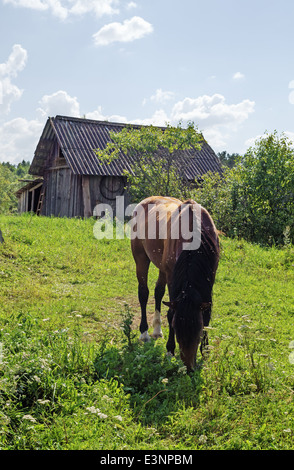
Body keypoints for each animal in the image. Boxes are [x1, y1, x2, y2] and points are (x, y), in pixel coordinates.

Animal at [130, 195, 218, 370]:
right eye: (177, 330)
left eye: (199, 332)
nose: (189, 367)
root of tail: (145, 201)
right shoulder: (172, 278)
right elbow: (171, 313)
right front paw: (170, 351)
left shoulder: (209, 278)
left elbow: (207, 313)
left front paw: (206, 350)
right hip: (141, 258)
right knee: (144, 294)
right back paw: (144, 332)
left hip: (162, 268)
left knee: (158, 293)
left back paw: (157, 330)